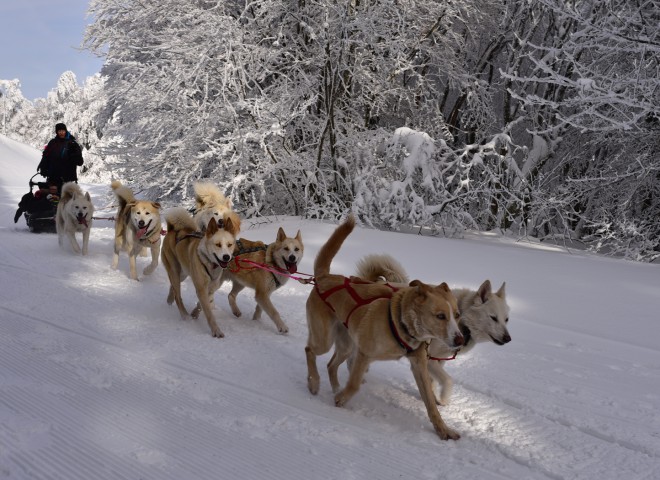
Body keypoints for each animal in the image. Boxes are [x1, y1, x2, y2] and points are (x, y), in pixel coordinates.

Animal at [162, 206, 238, 338]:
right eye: (218, 244)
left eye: (229, 244)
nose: (226, 257)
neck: (210, 264)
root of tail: (172, 230)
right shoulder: (201, 288)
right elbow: (208, 312)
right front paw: (216, 330)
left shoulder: (211, 289)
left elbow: (202, 305)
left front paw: (195, 313)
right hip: (175, 270)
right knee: (178, 295)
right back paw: (184, 315)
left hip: (183, 272)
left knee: (173, 287)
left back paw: (170, 299)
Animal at [304, 216, 464, 440]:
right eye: (440, 316)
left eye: (457, 315)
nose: (460, 340)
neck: (399, 321)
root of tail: (325, 277)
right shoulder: (364, 354)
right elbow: (354, 384)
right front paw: (342, 399)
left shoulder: (419, 365)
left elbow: (431, 403)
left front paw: (443, 429)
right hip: (325, 340)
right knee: (310, 350)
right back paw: (314, 382)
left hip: (346, 345)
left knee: (330, 365)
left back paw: (335, 387)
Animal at [356, 253, 510, 404]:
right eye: (493, 318)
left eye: (506, 319)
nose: (508, 338)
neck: (462, 322)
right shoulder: (429, 359)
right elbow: (448, 380)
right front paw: (443, 398)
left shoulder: (438, 360)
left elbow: (433, 381)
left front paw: (433, 396)